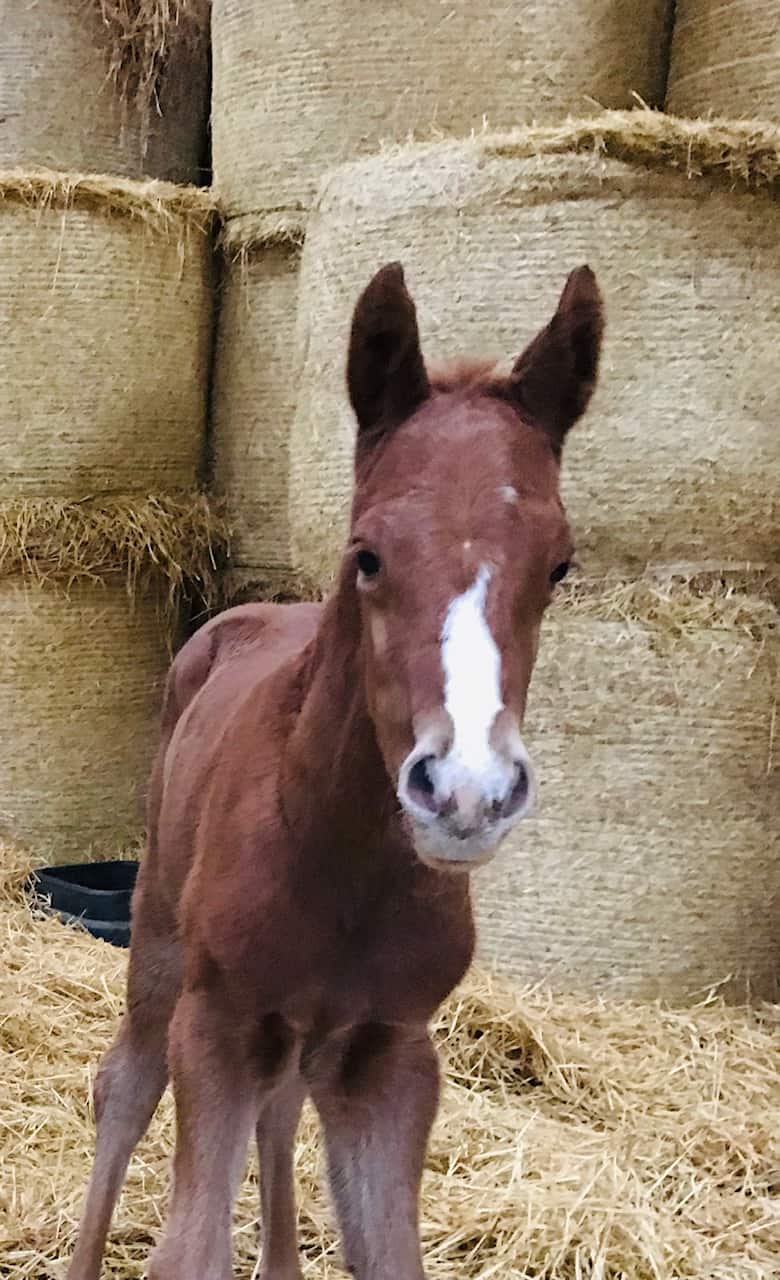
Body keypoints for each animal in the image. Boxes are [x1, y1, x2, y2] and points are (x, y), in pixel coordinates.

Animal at [68, 259, 601, 1280]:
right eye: (369, 554)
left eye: (559, 566)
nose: (466, 793)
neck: (333, 853)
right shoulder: (219, 1024)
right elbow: (188, 1249)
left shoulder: (390, 1052)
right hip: (159, 937)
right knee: (126, 1082)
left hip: (303, 1035)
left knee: (280, 1112)